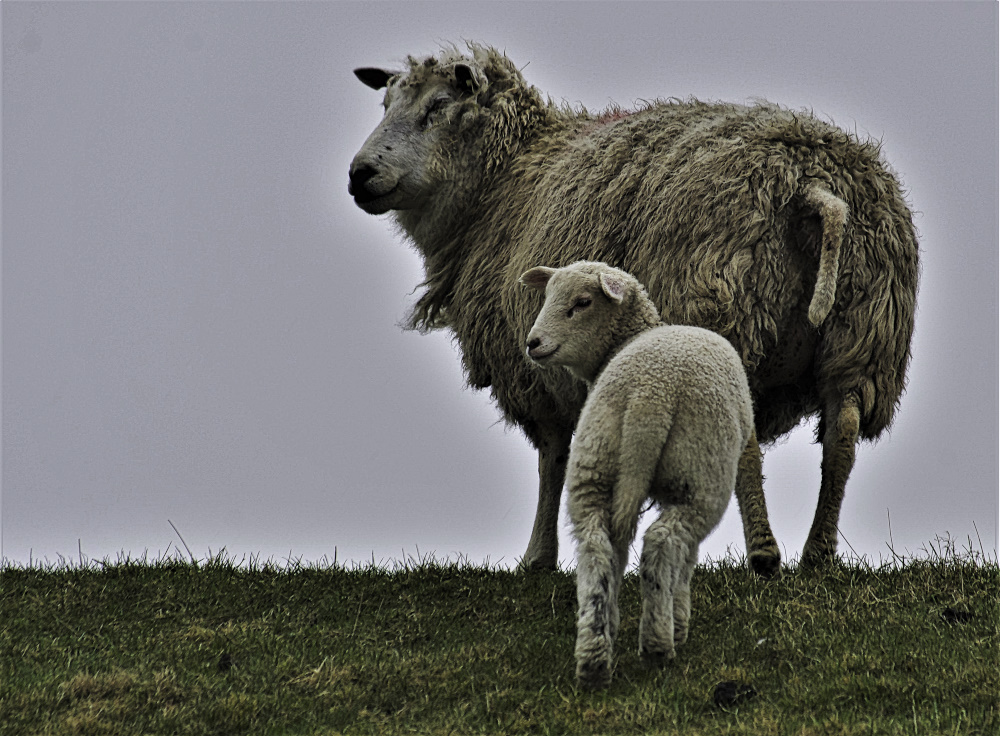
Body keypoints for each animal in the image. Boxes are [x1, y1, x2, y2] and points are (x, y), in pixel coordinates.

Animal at [348, 41, 916, 576]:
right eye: (385, 102)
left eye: (438, 106)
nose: (359, 173)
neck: (505, 180)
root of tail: (814, 186)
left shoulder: (533, 371)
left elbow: (552, 458)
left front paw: (538, 557)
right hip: (863, 336)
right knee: (841, 438)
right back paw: (817, 554)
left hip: (726, 315)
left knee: (749, 443)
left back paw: (764, 554)